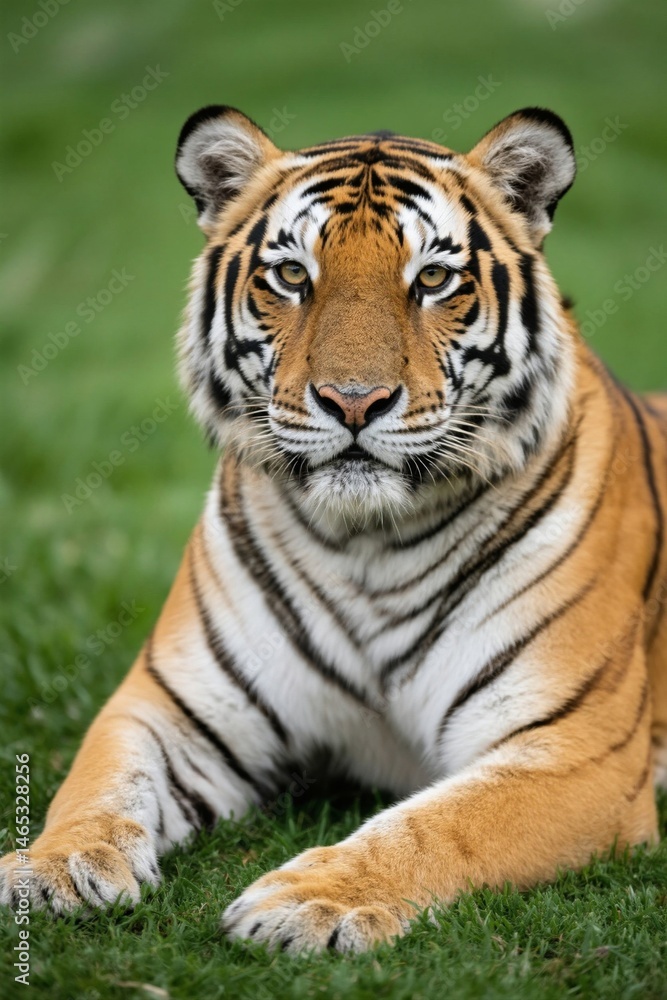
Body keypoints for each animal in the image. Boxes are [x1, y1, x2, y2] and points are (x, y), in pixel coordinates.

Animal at [2, 104, 666, 956]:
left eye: (432, 279)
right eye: (292, 276)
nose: (354, 401)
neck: (367, 544)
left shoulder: (574, 750)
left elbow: (438, 825)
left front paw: (308, 901)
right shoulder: (169, 706)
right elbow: (97, 783)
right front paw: (50, 869)